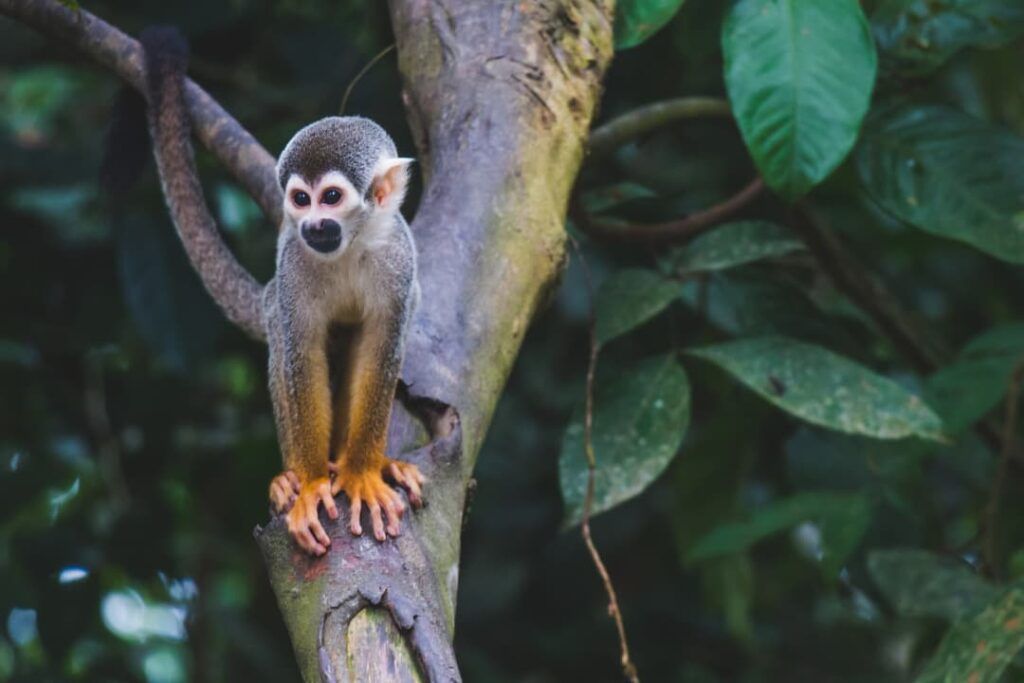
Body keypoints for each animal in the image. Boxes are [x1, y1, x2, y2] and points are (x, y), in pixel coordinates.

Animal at [139, 27, 424, 556]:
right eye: (300, 199)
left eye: (330, 198)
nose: (312, 225)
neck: (351, 245)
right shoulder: (293, 261)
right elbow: (300, 353)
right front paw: (311, 485)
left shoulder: (399, 258)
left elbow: (382, 346)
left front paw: (362, 472)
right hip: (278, 294)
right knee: (282, 338)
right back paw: (291, 479)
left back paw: (374, 462)